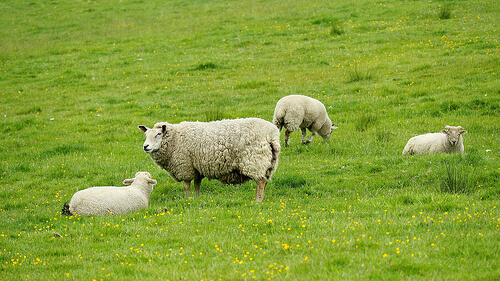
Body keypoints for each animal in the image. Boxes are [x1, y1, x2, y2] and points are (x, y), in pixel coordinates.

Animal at [139, 116, 280, 201]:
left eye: (158, 134)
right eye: (145, 135)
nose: (145, 146)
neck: (175, 139)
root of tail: (272, 134)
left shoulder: (185, 167)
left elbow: (186, 186)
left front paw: (187, 199)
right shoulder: (196, 168)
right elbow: (197, 185)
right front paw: (196, 199)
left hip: (254, 160)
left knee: (261, 182)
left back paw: (257, 201)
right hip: (269, 163)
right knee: (265, 181)